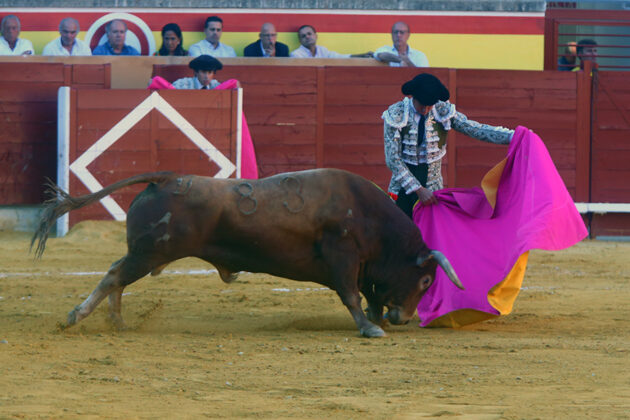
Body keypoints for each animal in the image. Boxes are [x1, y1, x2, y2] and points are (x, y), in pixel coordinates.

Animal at [30, 169, 464, 336]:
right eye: (426, 278)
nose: (403, 318)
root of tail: (166, 177)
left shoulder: (362, 266)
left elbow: (368, 292)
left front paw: (377, 320)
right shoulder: (343, 256)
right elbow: (352, 294)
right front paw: (370, 327)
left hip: (145, 254)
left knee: (117, 276)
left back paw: (117, 322)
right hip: (148, 254)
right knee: (114, 276)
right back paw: (78, 316)